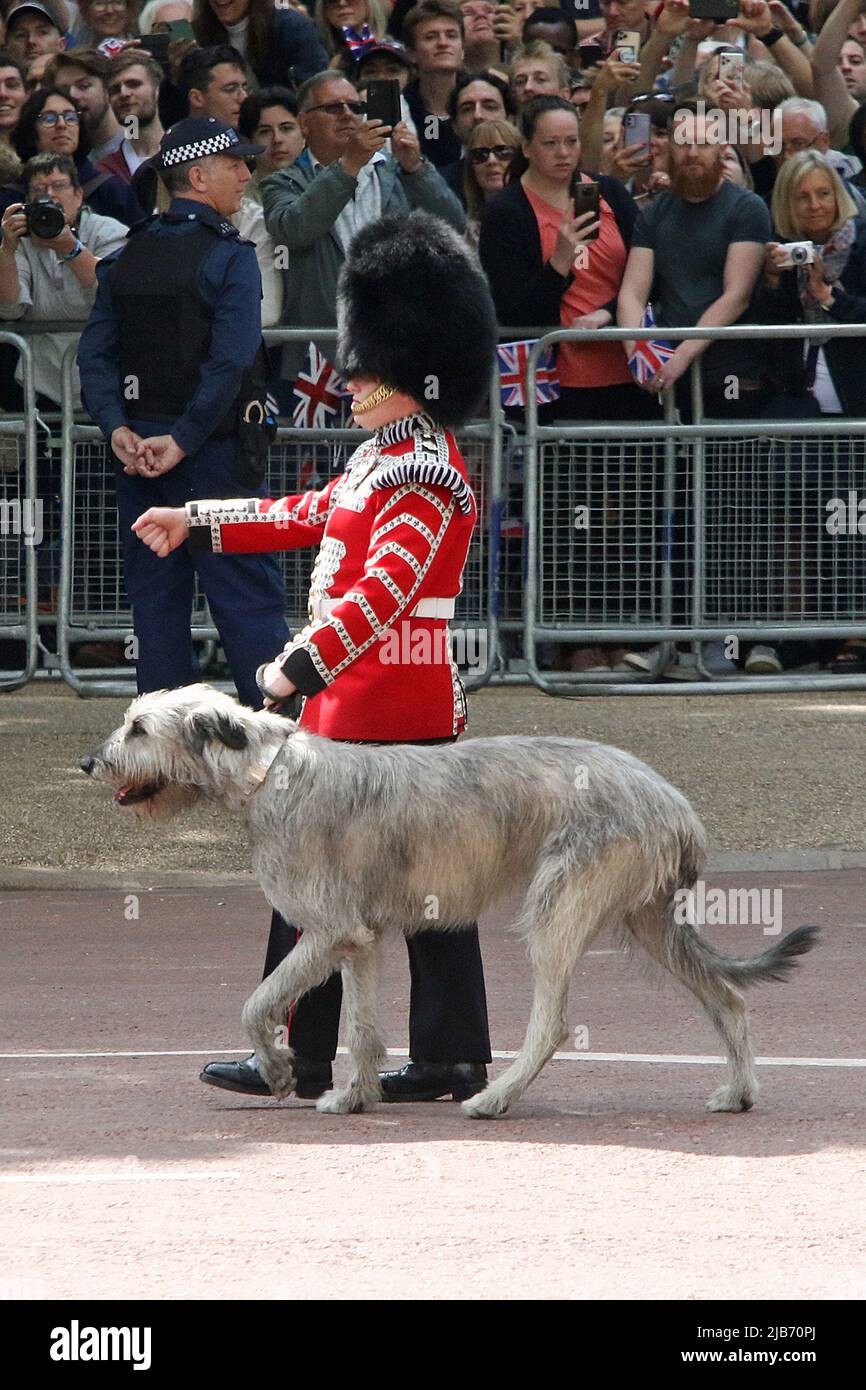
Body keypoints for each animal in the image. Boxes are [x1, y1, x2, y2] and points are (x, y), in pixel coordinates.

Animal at [81, 683, 817, 1117]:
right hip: (647, 919)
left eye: (138, 727)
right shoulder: (357, 939)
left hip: (559, 906)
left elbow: (257, 1002)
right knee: (726, 998)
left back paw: (494, 1098)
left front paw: (281, 1071)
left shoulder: (325, 930)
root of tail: (674, 802)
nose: (89, 763)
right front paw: (353, 1093)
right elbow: (362, 1025)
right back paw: (739, 1090)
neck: (267, 773)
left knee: (553, 1023)